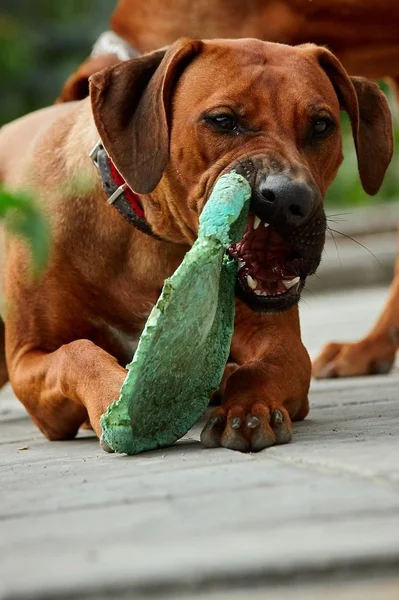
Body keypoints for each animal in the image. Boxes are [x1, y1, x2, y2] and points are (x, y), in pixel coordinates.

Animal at [0, 39, 394, 450]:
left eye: (321, 125)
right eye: (222, 120)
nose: (288, 199)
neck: (154, 241)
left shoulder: (282, 341)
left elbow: (260, 368)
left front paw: (247, 408)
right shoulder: (27, 359)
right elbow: (75, 355)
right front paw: (116, 397)